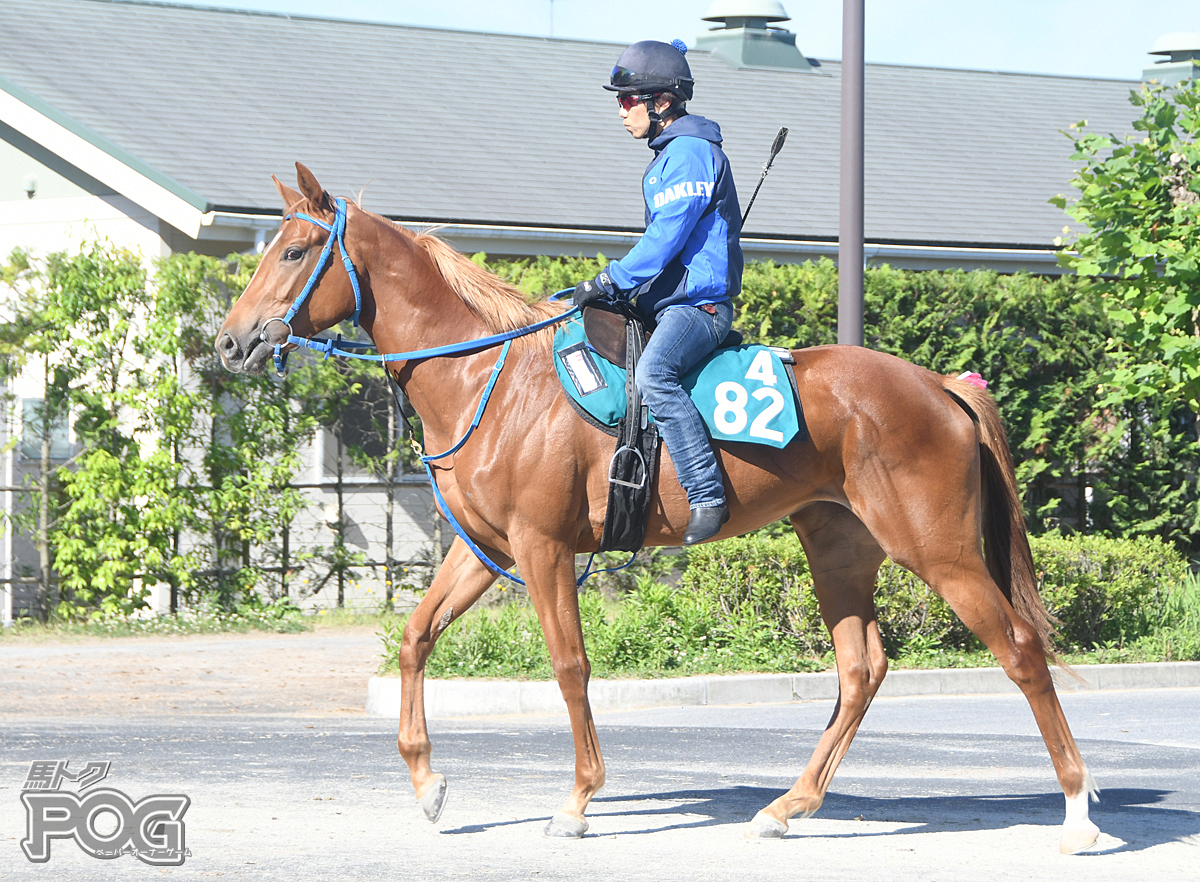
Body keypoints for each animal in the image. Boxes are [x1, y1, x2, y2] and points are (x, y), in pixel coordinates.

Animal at [220, 165, 1099, 854]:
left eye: (294, 252)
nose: (231, 342)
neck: (492, 378)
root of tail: (940, 385)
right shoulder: (484, 550)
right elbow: (414, 639)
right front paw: (428, 783)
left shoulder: (544, 548)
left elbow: (570, 667)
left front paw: (577, 801)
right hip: (839, 548)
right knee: (861, 669)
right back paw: (788, 806)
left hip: (938, 551)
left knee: (1021, 651)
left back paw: (1079, 812)